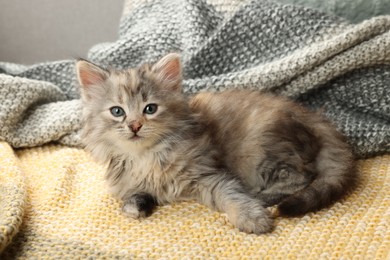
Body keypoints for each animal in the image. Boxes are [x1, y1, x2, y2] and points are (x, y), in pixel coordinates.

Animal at [75, 52, 356, 234]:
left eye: (150, 109)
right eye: (117, 112)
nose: (134, 126)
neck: (147, 156)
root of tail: (312, 116)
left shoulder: (210, 175)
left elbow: (232, 197)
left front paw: (252, 218)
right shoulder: (131, 183)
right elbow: (136, 194)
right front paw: (134, 207)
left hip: (261, 148)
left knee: (301, 177)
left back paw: (260, 196)